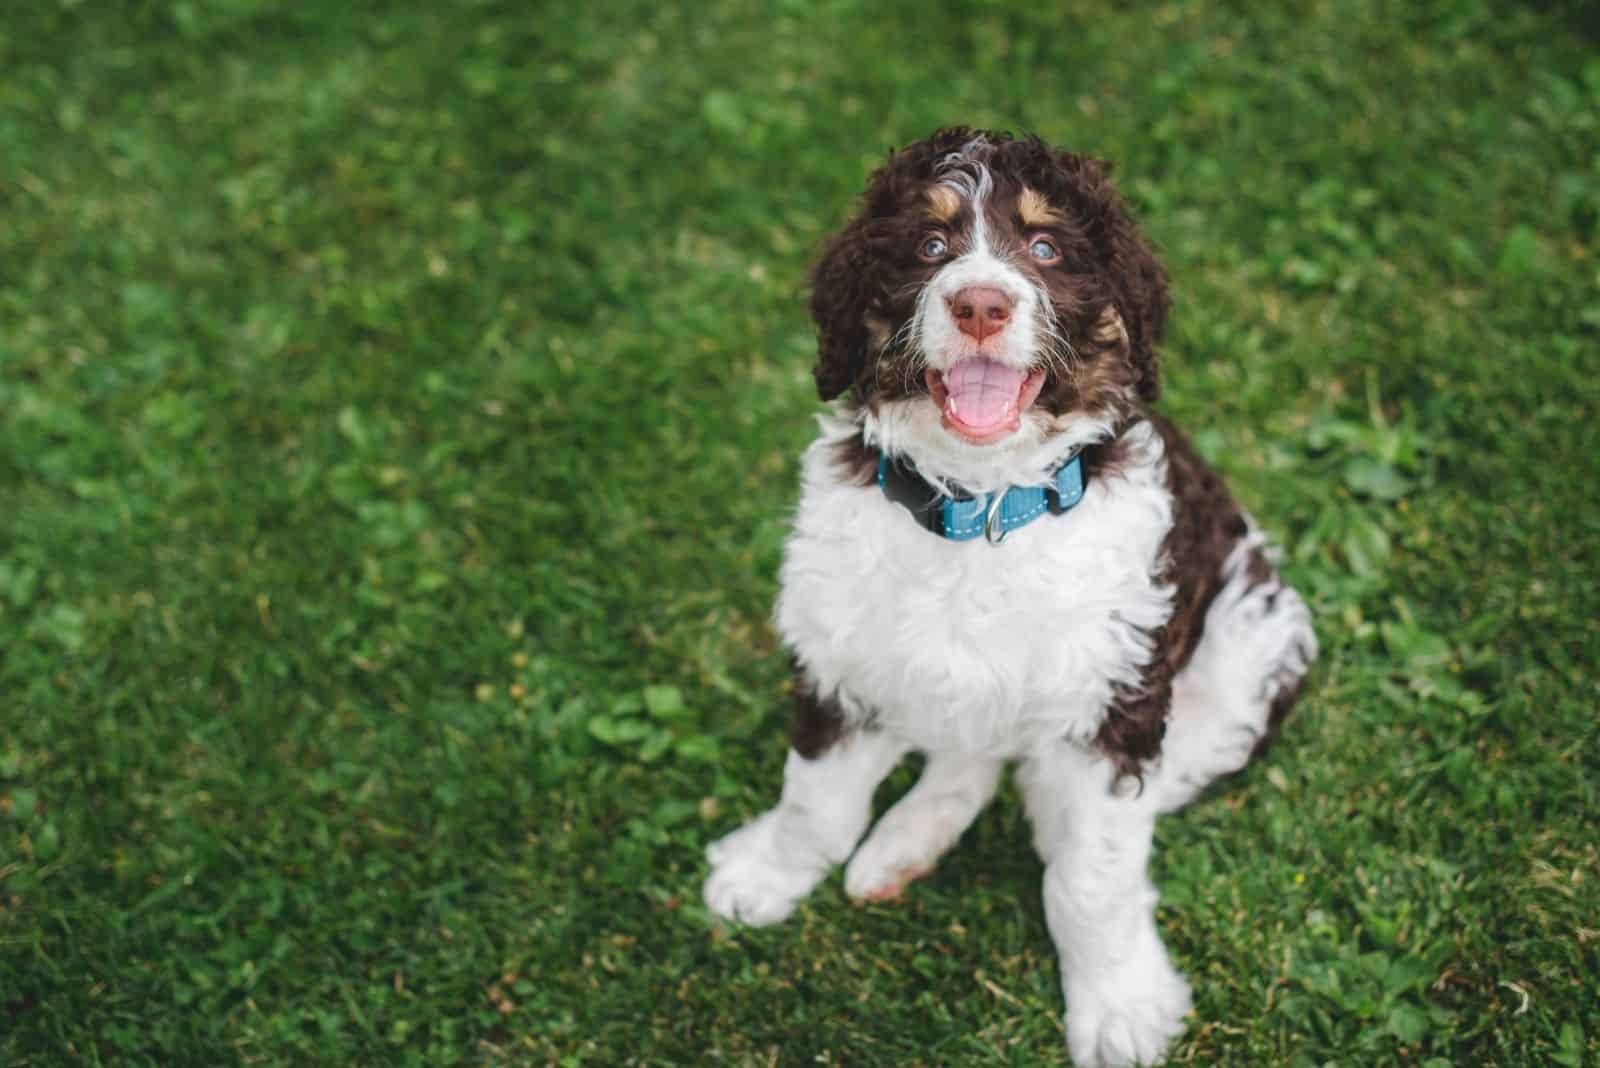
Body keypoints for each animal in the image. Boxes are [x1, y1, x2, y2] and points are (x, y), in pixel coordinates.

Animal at [704, 127, 1312, 1068]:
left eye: (1047, 248)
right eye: (929, 245)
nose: (982, 304)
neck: (982, 508)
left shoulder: (1115, 701)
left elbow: (1093, 875)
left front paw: (1118, 1005)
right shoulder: (840, 655)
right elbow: (814, 799)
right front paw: (767, 873)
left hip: (1250, 653)